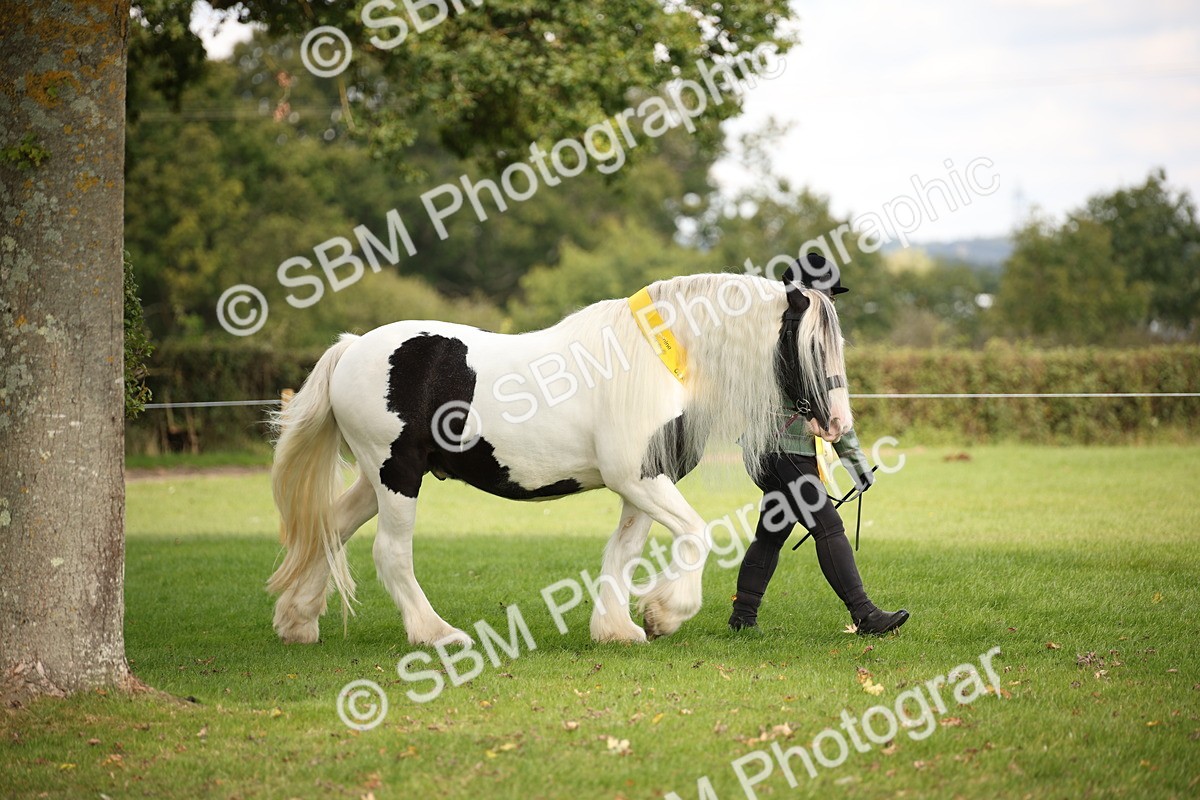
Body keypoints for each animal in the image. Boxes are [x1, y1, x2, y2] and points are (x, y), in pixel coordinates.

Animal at [267, 268, 852, 646]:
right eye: (814, 346)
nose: (838, 425)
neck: (657, 361)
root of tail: (352, 347)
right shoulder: (638, 479)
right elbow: (695, 534)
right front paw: (665, 614)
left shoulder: (643, 484)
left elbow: (622, 551)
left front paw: (618, 629)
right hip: (398, 475)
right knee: (390, 553)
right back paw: (436, 634)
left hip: (377, 477)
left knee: (330, 527)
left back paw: (298, 623)